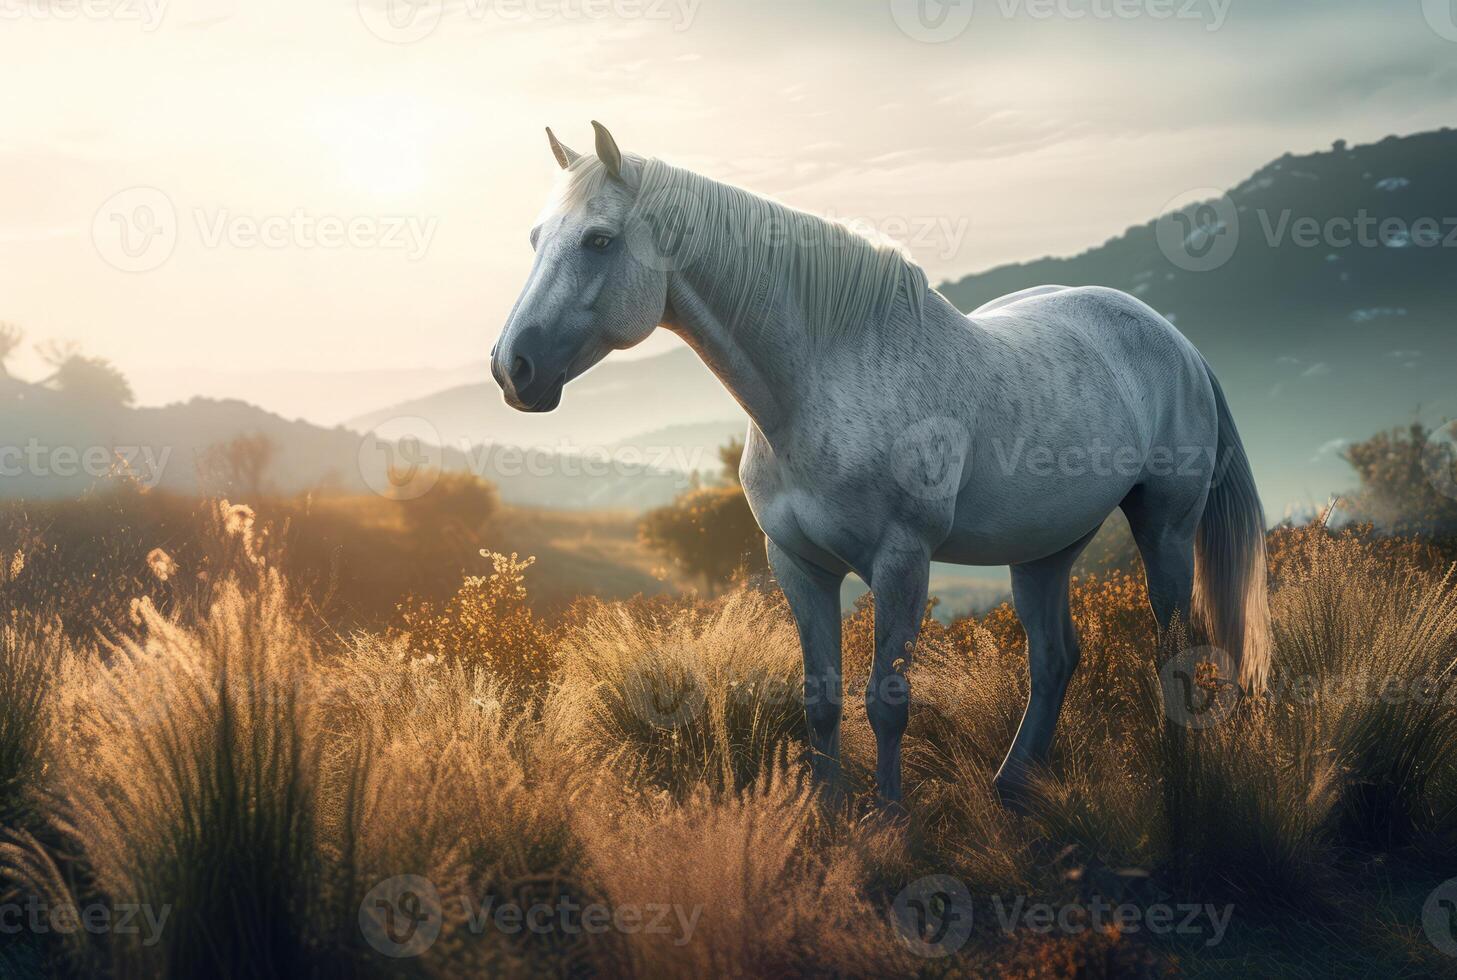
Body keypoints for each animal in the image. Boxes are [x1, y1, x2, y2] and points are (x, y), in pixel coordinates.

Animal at [495, 125, 1270, 803]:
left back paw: (1176, 779)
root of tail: (1175, 341)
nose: (512, 367)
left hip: (1164, 528)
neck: (821, 383)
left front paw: (892, 821)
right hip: (1044, 549)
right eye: (533, 239)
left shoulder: (902, 562)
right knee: (1054, 659)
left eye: (599, 240)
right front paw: (829, 813)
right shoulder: (797, 565)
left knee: (1174, 648)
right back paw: (1011, 786)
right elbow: (821, 701)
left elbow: (886, 703)